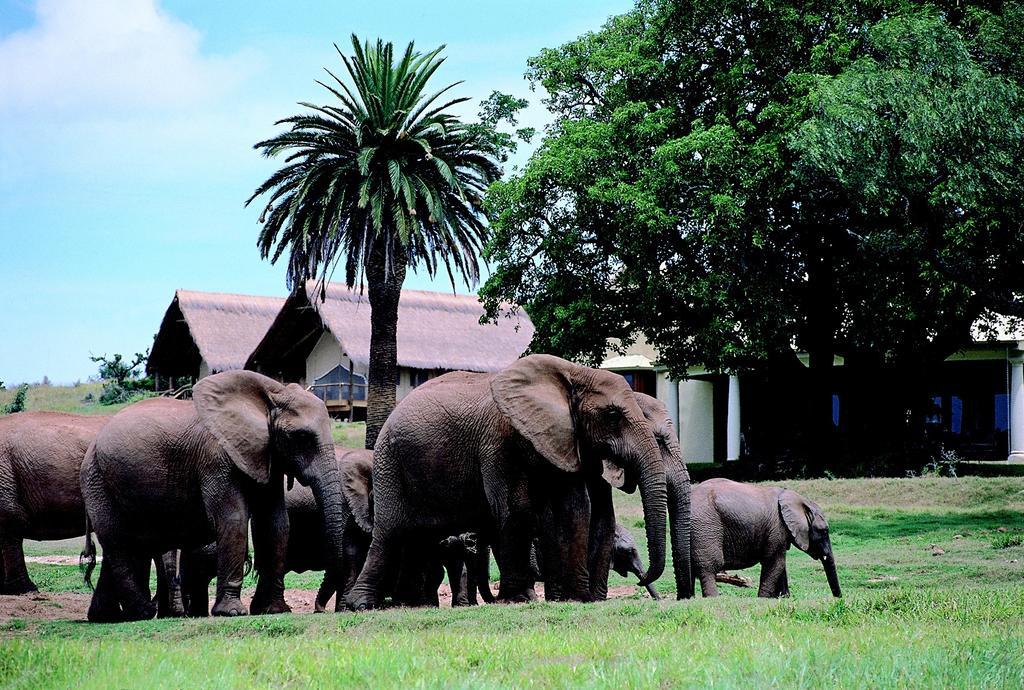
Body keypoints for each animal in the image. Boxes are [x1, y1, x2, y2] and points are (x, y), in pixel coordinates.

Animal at [79, 368, 344, 622]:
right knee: (119, 542)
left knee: (127, 545)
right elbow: (234, 518)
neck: (271, 395)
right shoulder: (216, 458)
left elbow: (275, 523)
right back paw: (142, 612)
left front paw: (274, 610)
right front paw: (232, 613)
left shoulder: (265, 454)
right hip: (96, 479)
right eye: (302, 437)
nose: (321, 610)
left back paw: (107, 617)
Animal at [346, 354, 671, 606]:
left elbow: (576, 508)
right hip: (389, 462)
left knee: (418, 537)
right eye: (613, 415)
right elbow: (517, 508)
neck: (573, 374)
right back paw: (362, 605)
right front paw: (520, 600)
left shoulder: (563, 439)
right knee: (390, 532)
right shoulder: (499, 442)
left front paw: (577, 599)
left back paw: (412, 604)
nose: (642, 581)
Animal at [688, 479, 839, 597]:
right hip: (705, 526)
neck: (801, 500)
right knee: (709, 567)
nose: (838, 598)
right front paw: (764, 598)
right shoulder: (777, 527)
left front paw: (783, 598)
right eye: (824, 531)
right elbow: (775, 562)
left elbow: (780, 564)